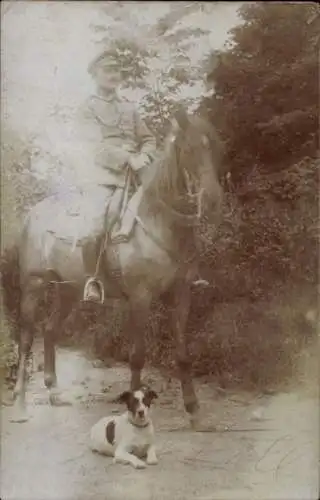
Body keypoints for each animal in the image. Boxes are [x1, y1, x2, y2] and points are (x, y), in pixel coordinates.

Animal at [1, 108, 224, 426]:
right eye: (189, 149)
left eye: (215, 148)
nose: (214, 200)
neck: (159, 222)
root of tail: (33, 213)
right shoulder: (140, 299)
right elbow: (137, 355)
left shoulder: (181, 295)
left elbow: (183, 355)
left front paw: (193, 411)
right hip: (33, 286)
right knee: (26, 338)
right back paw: (20, 404)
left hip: (68, 291)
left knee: (50, 330)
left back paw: (54, 392)